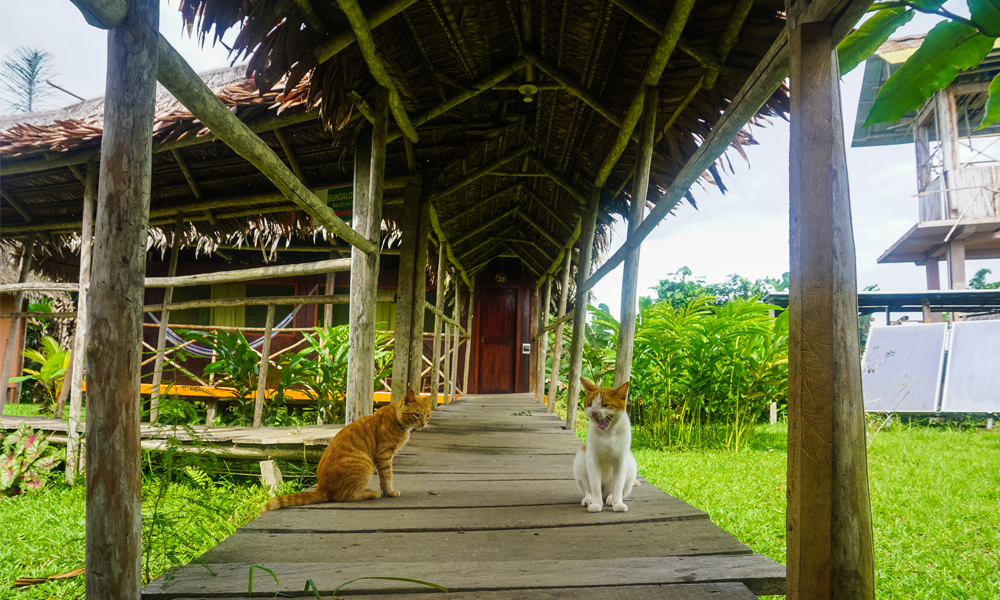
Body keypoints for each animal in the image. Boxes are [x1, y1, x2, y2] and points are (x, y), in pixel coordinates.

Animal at [260, 390, 432, 516]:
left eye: (428, 416)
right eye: (417, 414)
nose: (423, 424)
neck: (397, 420)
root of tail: (322, 487)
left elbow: (384, 479)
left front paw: (386, 491)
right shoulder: (384, 456)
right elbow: (388, 476)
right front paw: (390, 492)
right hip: (364, 462)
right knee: (345, 497)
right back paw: (370, 493)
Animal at [576, 380, 636, 510]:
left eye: (605, 405)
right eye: (589, 404)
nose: (594, 412)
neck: (608, 434)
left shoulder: (622, 459)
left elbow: (618, 485)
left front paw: (617, 503)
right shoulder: (592, 458)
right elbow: (594, 485)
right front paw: (596, 504)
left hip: (631, 462)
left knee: (616, 490)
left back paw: (611, 498)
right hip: (580, 457)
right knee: (589, 489)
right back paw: (589, 499)